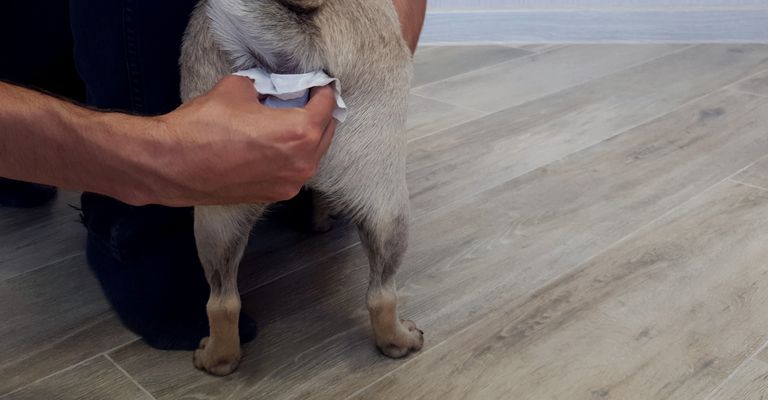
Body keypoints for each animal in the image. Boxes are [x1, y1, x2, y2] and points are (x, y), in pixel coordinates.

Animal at [179, 0, 420, 376]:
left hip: (216, 218)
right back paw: (398, 340)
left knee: (222, 302)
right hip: (389, 208)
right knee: (381, 294)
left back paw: (218, 359)